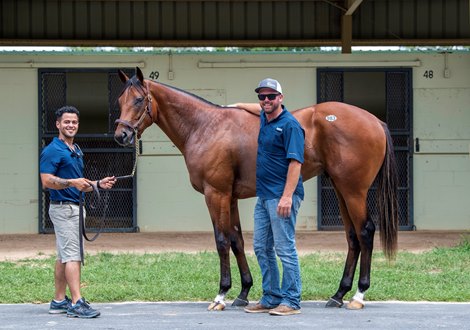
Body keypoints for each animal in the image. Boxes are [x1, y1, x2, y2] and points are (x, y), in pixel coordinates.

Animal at [113, 67, 396, 312]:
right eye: (120, 100)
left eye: (139, 99)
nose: (121, 135)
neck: (204, 126)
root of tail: (375, 120)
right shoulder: (230, 197)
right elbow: (236, 240)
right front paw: (243, 292)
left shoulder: (216, 194)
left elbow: (221, 241)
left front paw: (221, 295)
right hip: (340, 189)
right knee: (352, 236)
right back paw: (339, 294)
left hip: (353, 191)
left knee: (365, 232)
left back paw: (358, 295)